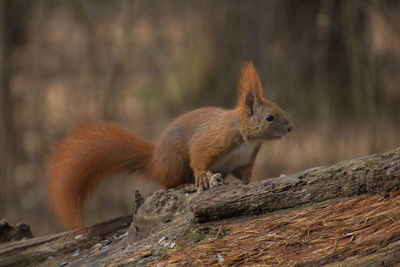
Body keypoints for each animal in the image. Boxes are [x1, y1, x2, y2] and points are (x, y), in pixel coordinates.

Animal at [47, 61, 294, 229]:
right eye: (270, 117)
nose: (291, 127)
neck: (247, 139)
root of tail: (155, 161)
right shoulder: (215, 138)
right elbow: (199, 154)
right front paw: (202, 176)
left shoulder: (244, 160)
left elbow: (245, 175)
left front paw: (251, 183)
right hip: (175, 162)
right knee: (168, 184)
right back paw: (185, 185)